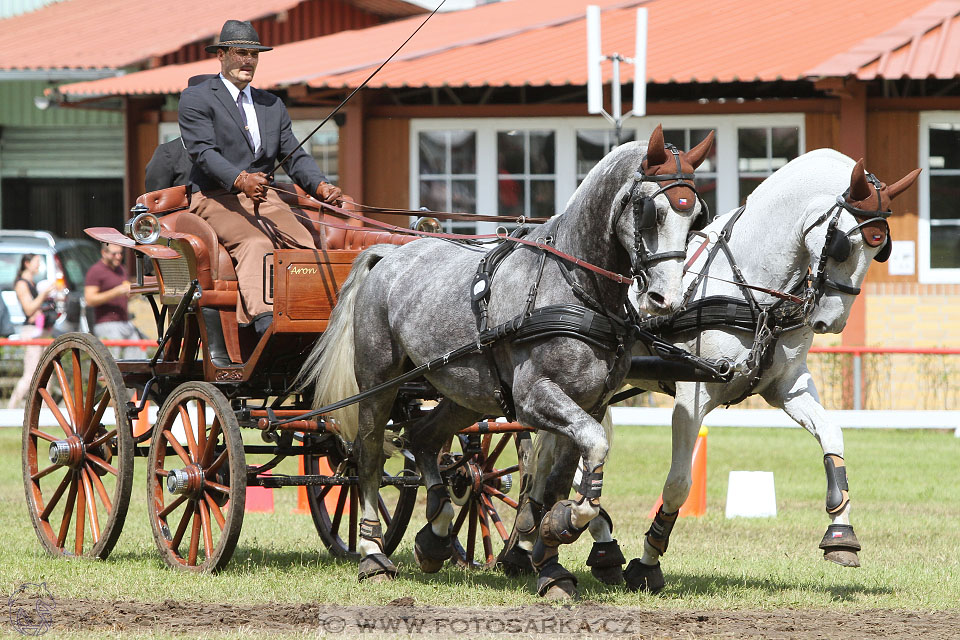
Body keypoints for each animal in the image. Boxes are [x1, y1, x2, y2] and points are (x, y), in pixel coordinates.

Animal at [298, 126, 712, 600]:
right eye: (652, 211)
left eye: (695, 216)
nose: (665, 300)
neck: (576, 286)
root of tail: (387, 254)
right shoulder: (535, 397)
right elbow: (590, 452)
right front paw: (563, 530)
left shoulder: (590, 405)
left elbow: (559, 480)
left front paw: (549, 552)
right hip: (378, 384)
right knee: (366, 457)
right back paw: (371, 552)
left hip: (464, 394)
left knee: (423, 438)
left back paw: (436, 532)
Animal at [510, 148, 924, 592]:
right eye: (844, 244)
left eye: (880, 250)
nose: (831, 321)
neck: (752, 291)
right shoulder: (692, 398)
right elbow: (678, 484)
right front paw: (648, 561)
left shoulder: (787, 386)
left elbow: (832, 434)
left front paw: (841, 533)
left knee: (551, 456)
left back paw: (549, 539)